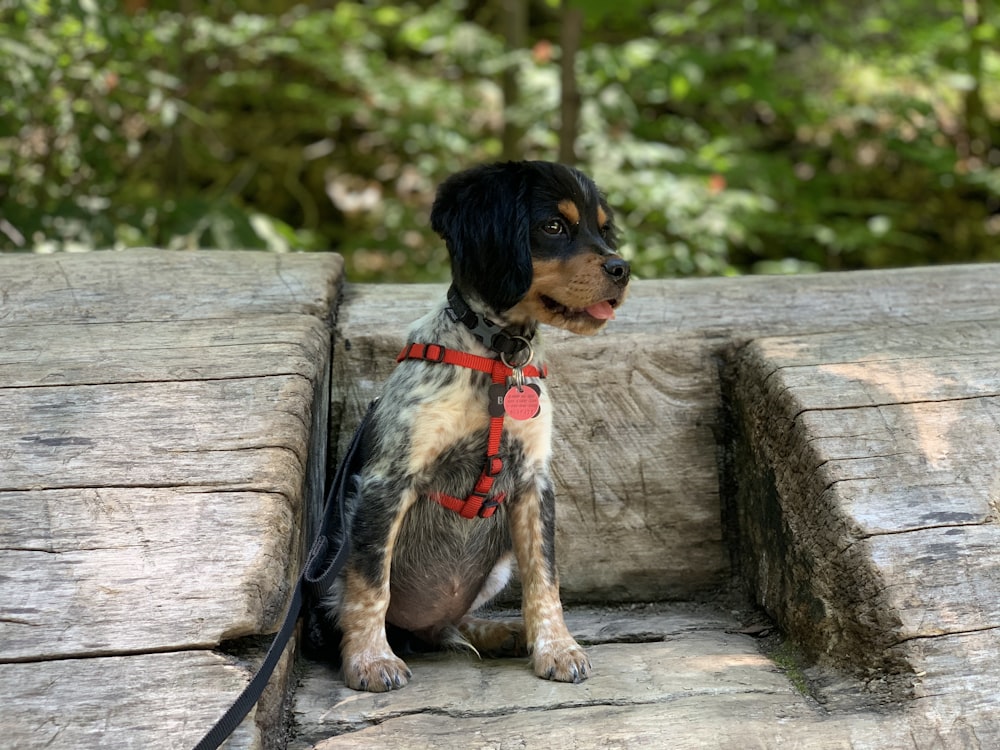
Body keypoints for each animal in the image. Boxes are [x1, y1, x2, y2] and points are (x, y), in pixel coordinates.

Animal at [324, 160, 628, 692]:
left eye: (603, 229)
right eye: (554, 227)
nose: (622, 269)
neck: (499, 357)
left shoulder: (533, 484)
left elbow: (544, 579)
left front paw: (556, 647)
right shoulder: (386, 483)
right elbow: (370, 583)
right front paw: (369, 660)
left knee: (450, 623)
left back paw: (499, 632)